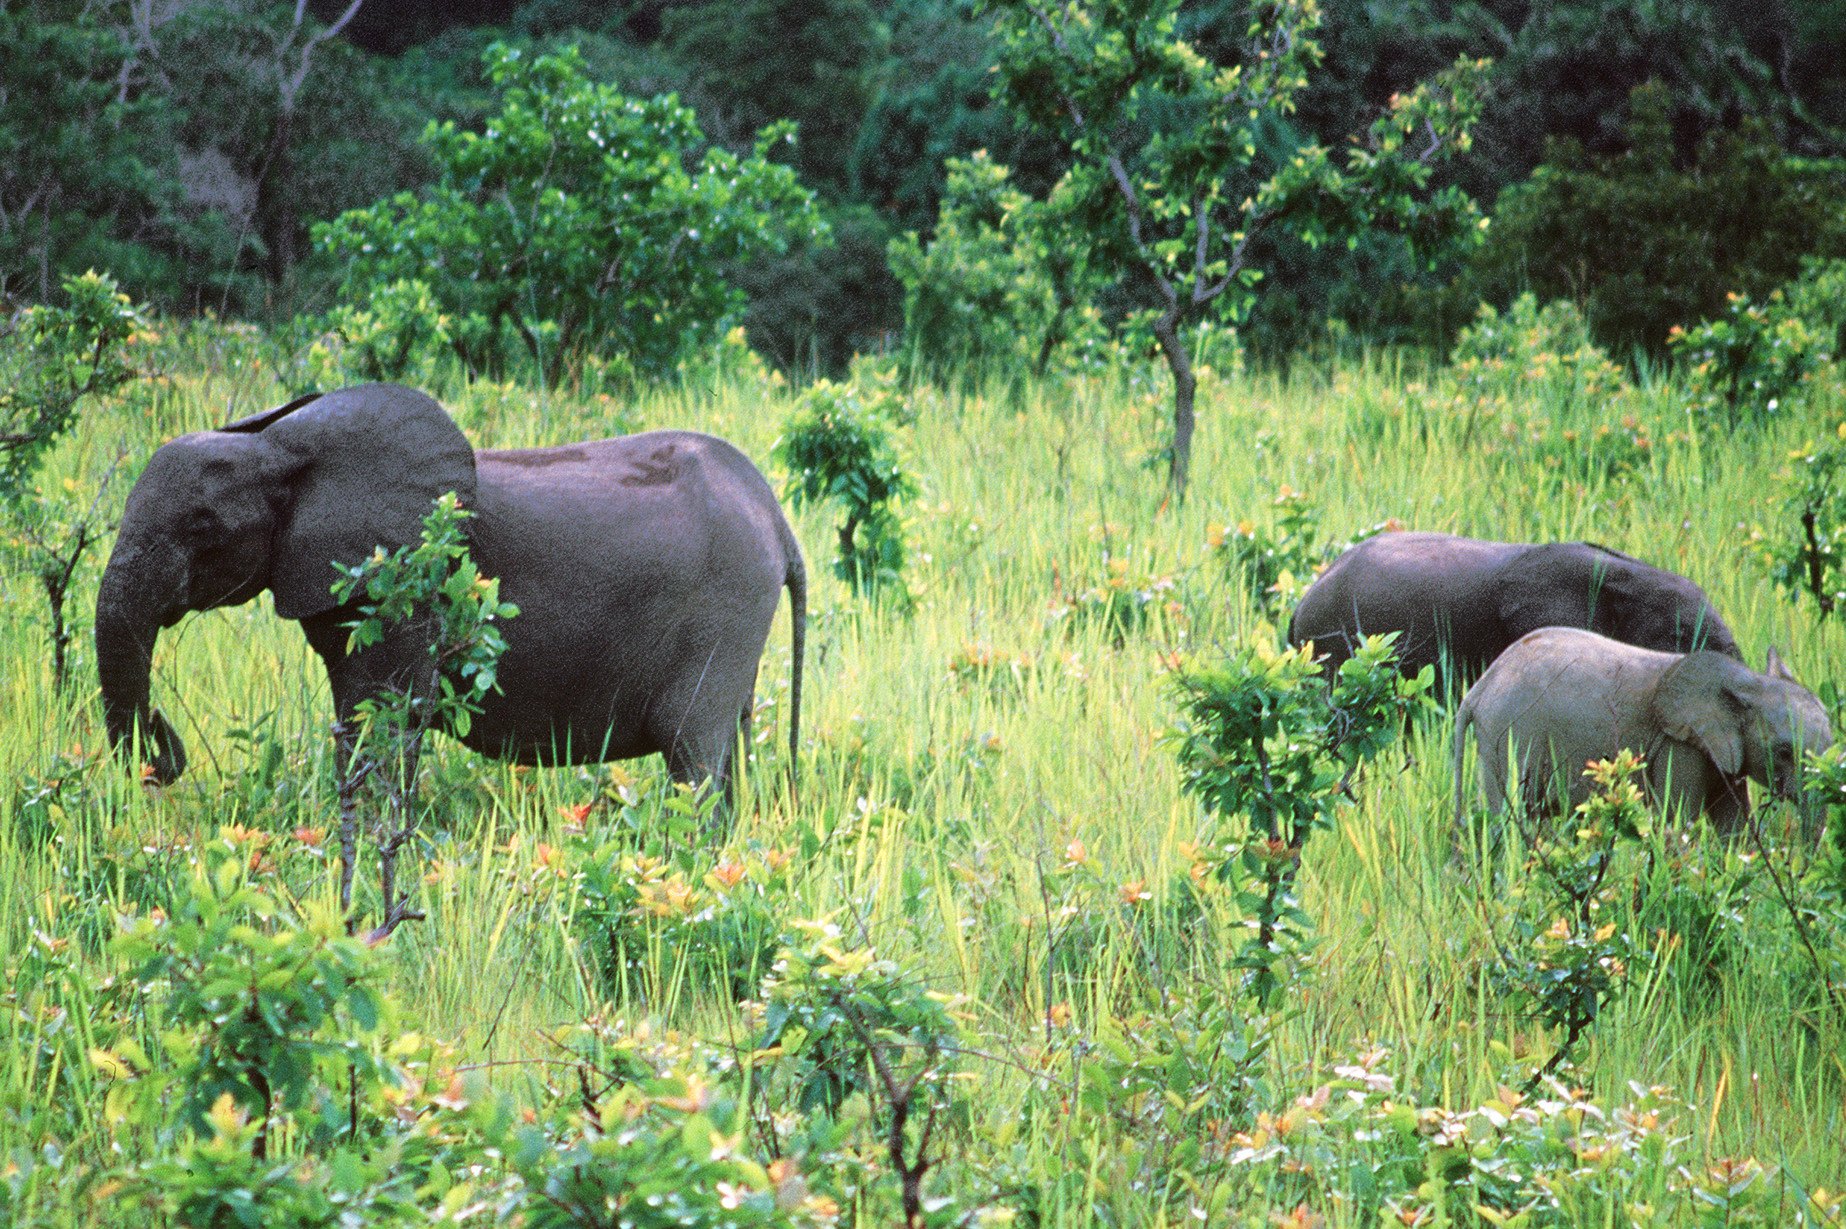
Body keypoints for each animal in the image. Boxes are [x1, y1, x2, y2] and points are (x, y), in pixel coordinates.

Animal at [96, 382, 806, 809]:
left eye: (201, 526)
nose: (163, 739)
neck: (279, 445)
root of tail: (775, 516)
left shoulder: (407, 585)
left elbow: (383, 718)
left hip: (725, 608)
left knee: (694, 752)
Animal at [1451, 626, 1832, 834]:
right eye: (1783, 752)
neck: (1747, 683)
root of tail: (1480, 687)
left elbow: (1734, 828)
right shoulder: (1679, 746)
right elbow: (1679, 821)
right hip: (1505, 733)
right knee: (1507, 820)